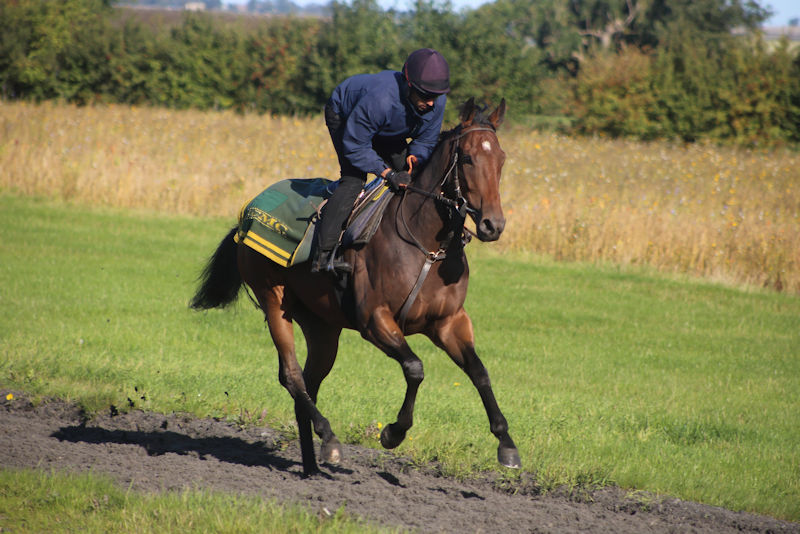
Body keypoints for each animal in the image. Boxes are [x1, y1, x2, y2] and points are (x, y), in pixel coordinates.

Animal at [191, 98, 520, 476]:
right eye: (467, 158)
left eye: (501, 158)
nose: (493, 224)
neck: (427, 245)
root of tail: (247, 214)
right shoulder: (374, 320)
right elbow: (415, 368)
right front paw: (393, 432)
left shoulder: (449, 322)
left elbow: (479, 372)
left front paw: (507, 444)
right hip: (274, 300)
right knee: (291, 376)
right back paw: (330, 439)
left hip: (322, 326)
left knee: (308, 384)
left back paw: (311, 464)